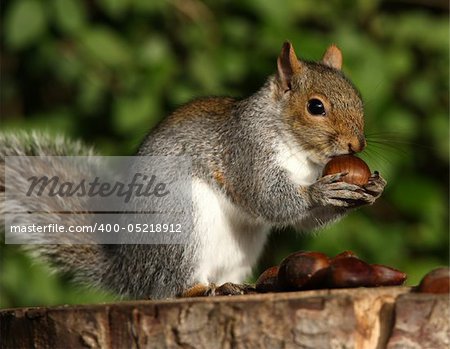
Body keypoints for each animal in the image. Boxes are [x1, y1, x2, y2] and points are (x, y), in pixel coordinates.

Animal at [0, 40, 386, 296]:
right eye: (315, 107)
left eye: (358, 99)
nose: (356, 145)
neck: (301, 153)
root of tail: (131, 273)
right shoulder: (244, 152)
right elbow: (267, 199)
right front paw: (322, 191)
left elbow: (304, 220)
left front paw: (372, 189)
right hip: (180, 224)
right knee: (173, 288)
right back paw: (204, 290)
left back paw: (238, 287)